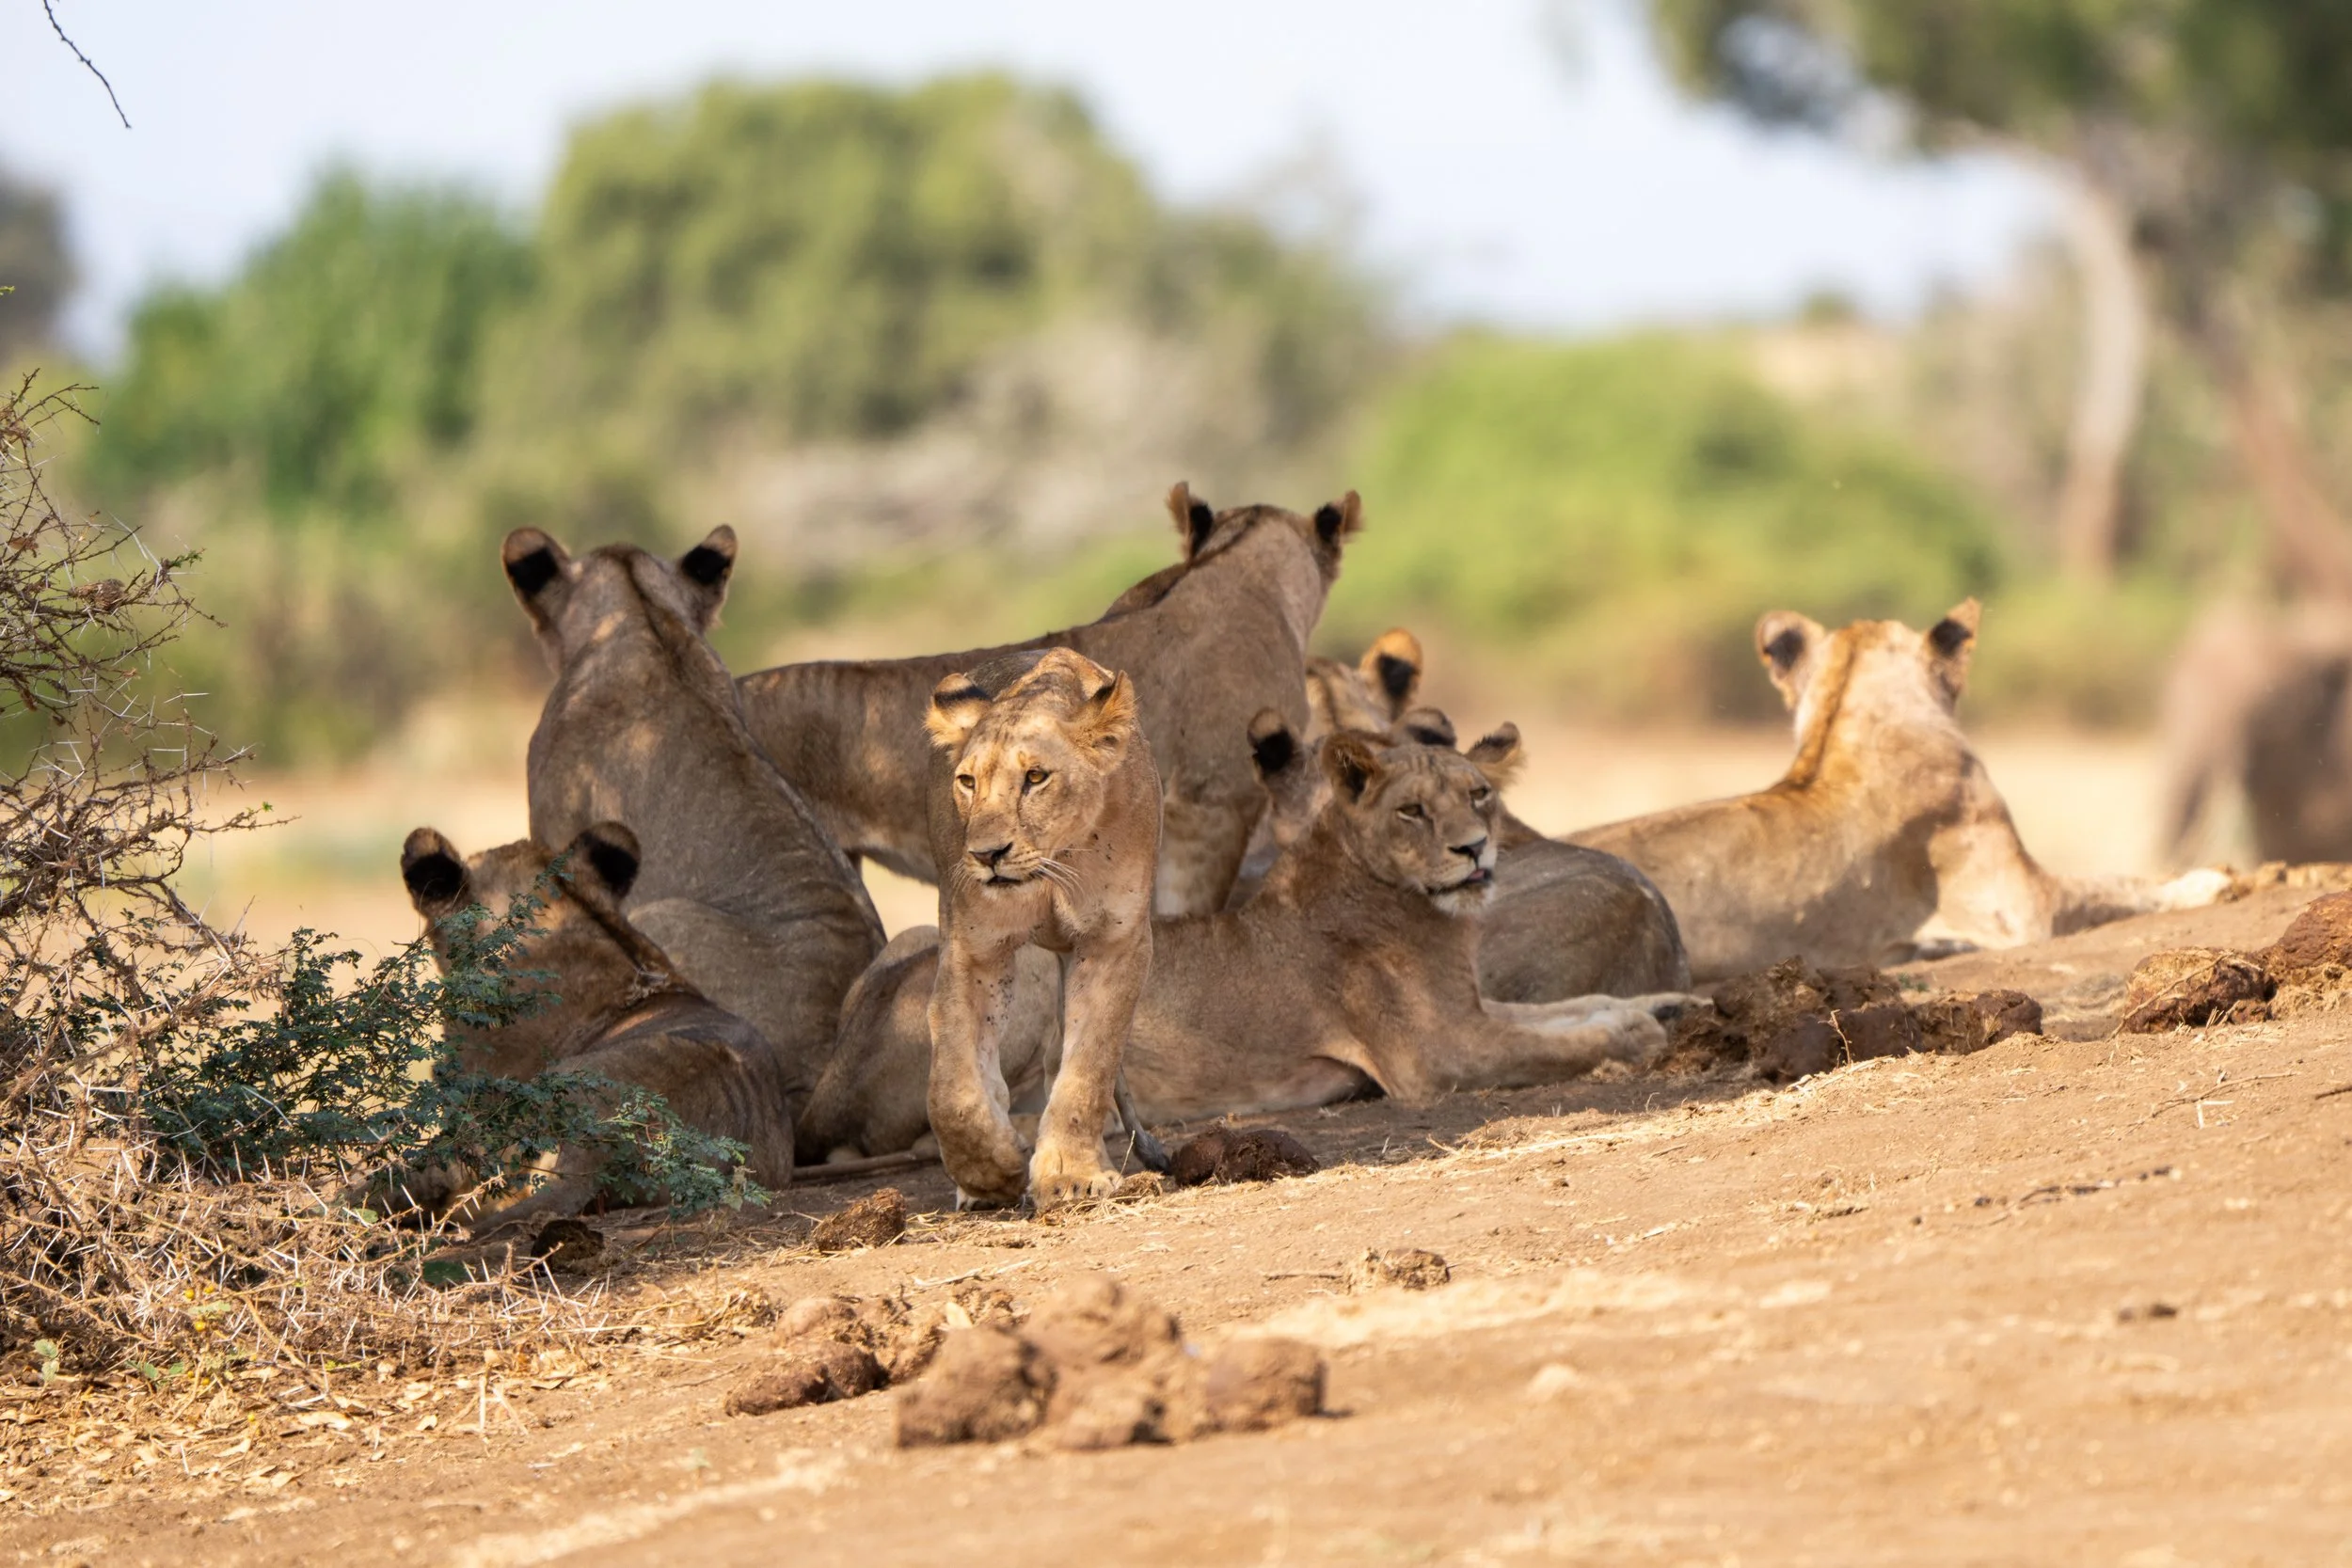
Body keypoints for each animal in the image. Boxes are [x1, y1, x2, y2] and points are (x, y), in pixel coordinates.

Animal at [802, 730, 1689, 1154]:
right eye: (1412, 810)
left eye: (1478, 795)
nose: (1476, 851)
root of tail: (823, 1089)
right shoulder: (1439, 1054)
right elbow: (1560, 1042)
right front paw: (1641, 1036)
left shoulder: (1474, 1009)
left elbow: (1580, 1006)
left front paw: (1667, 1006)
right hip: (1021, 946)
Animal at [913, 648, 1161, 1208]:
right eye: (968, 782)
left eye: (1036, 778)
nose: (987, 854)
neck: (1052, 868)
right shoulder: (973, 947)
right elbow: (952, 1091)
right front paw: (992, 1174)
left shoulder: (1114, 941)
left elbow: (1088, 1066)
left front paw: (1070, 1173)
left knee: (1058, 1059)